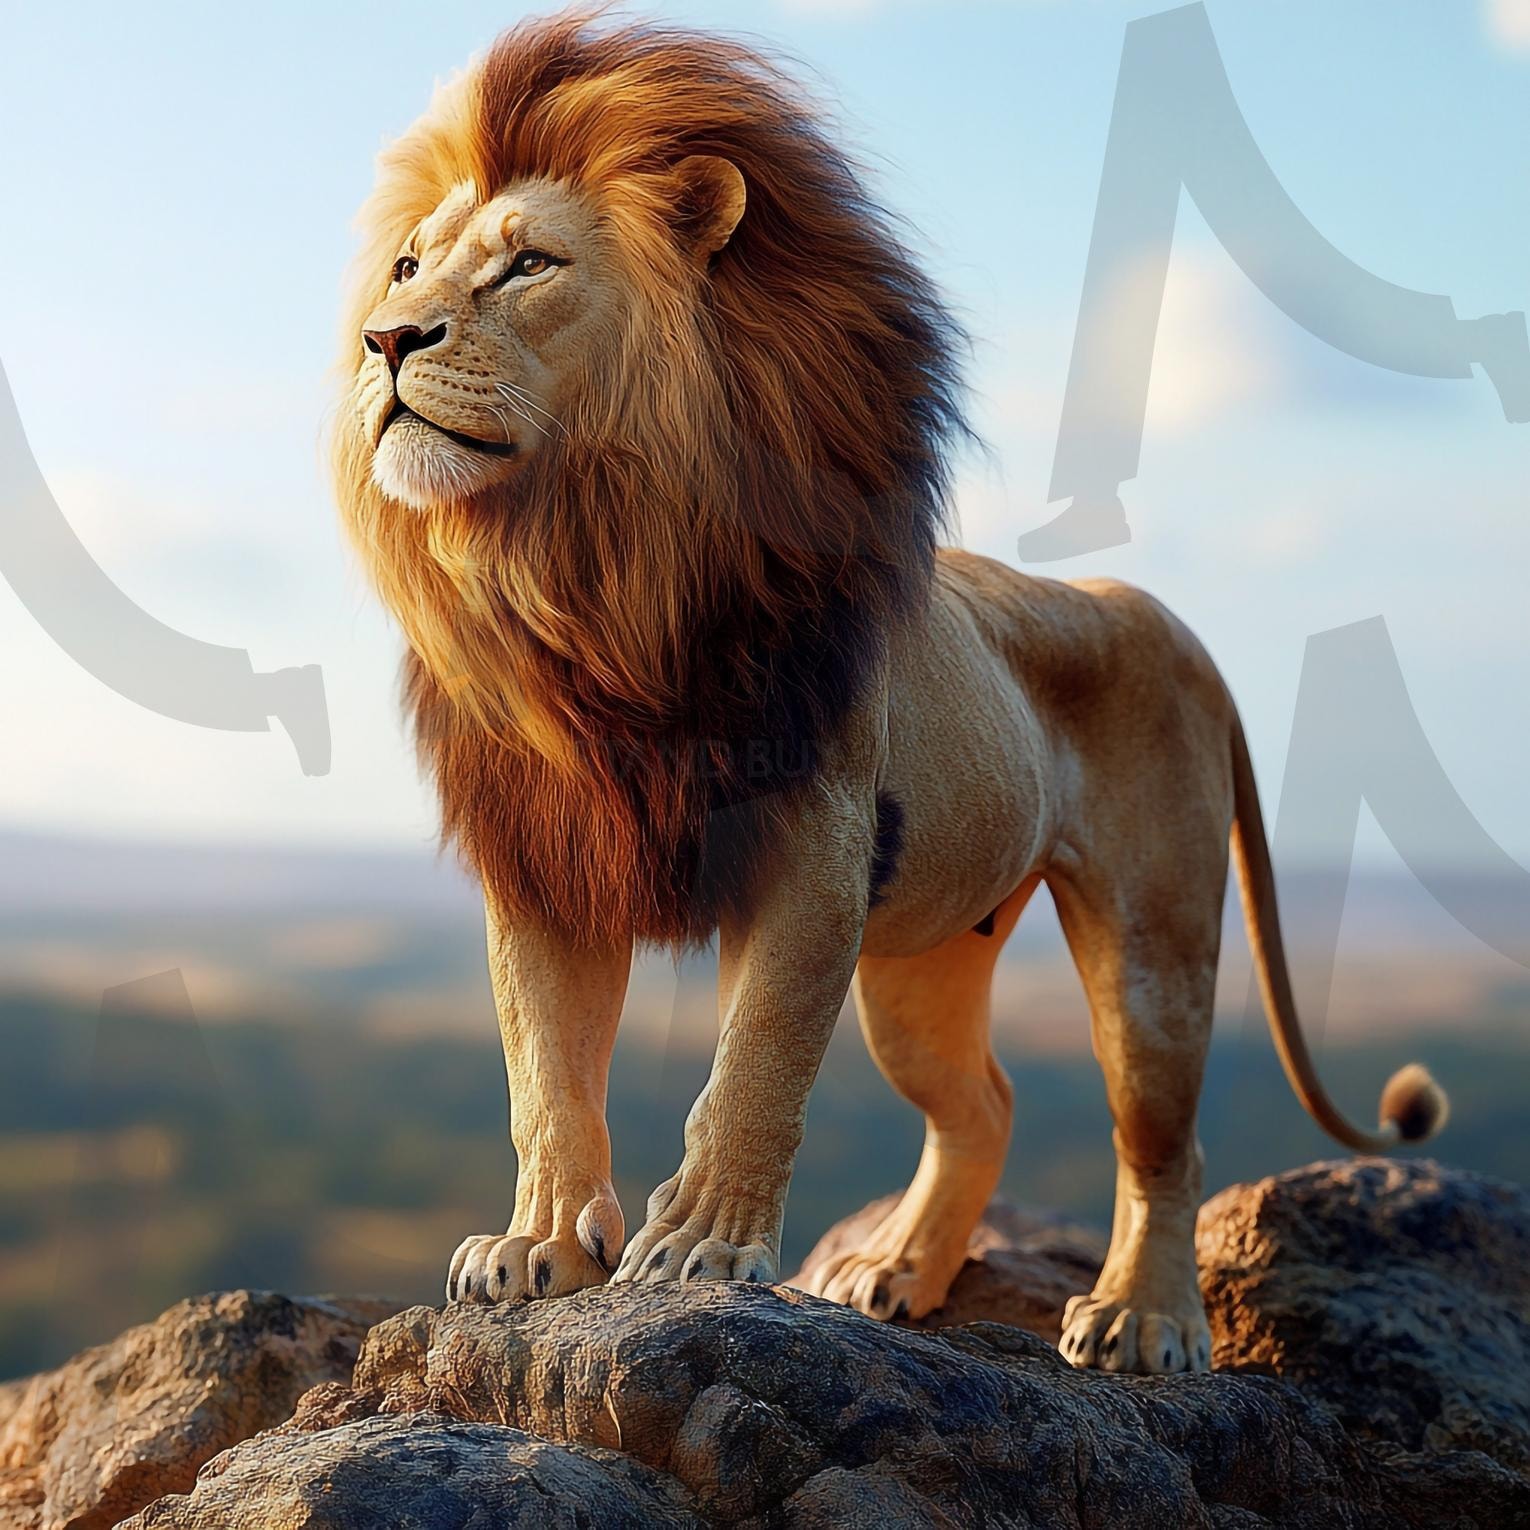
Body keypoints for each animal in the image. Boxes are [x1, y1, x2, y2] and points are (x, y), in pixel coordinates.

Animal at [333, 12, 1447, 1374]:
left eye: (527, 265)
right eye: (404, 269)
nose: (387, 341)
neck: (580, 575)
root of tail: (1161, 616)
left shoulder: (813, 844)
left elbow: (754, 1063)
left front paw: (700, 1250)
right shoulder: (547, 855)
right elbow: (544, 1075)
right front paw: (536, 1251)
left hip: (1156, 942)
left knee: (1162, 1143)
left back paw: (1143, 1321)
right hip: (921, 967)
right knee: (986, 1105)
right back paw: (897, 1274)